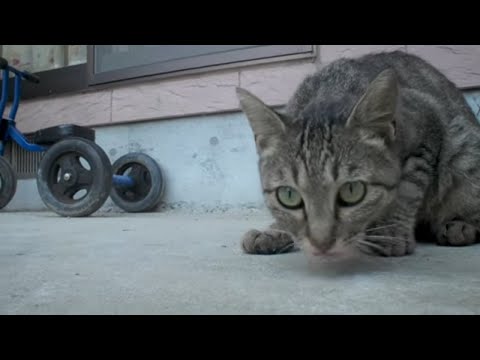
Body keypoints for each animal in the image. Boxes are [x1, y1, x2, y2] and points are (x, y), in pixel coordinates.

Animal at [238, 51, 480, 258]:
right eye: (288, 195)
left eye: (352, 191)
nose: (321, 243)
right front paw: (275, 231)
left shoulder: (427, 125)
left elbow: (406, 190)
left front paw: (391, 232)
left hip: (463, 150)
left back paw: (461, 226)